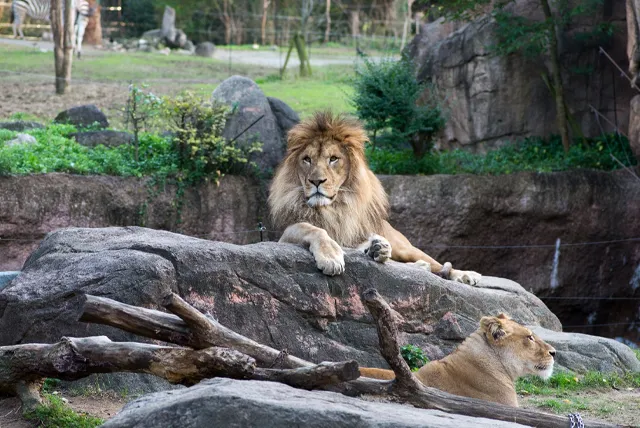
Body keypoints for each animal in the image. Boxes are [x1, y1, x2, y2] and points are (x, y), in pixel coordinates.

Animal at [268, 111, 482, 284]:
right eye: (307, 160)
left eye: (333, 159)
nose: (316, 181)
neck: (333, 208)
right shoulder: (284, 237)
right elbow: (313, 228)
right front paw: (331, 256)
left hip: (405, 247)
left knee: (434, 264)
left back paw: (465, 275)